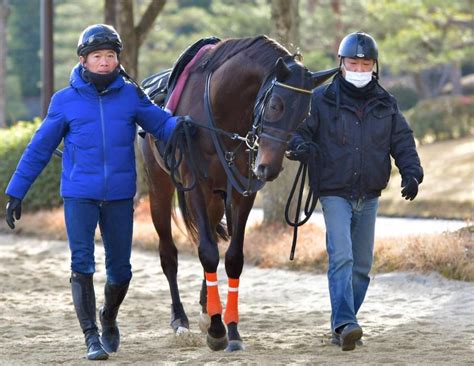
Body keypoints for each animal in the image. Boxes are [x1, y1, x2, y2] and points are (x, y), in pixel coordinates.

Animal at [138, 35, 336, 352]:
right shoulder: (195, 185)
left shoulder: (243, 191)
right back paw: (180, 320)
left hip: (215, 200)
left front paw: (230, 328)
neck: (220, 114)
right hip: (159, 189)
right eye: (276, 105)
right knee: (169, 254)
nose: (269, 168)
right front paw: (218, 330)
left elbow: (232, 258)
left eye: (303, 115)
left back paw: (207, 308)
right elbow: (206, 253)